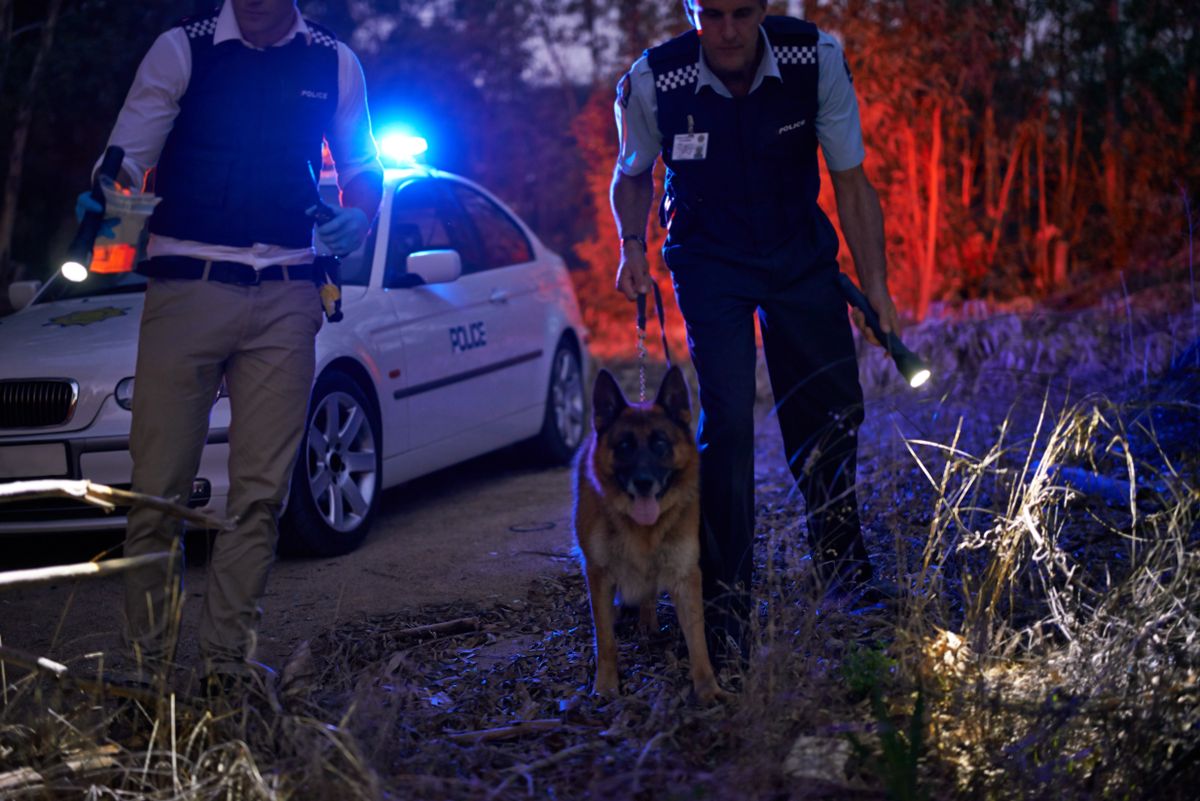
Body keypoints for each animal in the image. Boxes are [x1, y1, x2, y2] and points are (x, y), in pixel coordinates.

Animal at [573, 366, 720, 705]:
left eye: (660, 444)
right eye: (624, 446)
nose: (643, 482)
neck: (643, 528)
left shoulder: (685, 576)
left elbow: (698, 639)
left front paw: (708, 689)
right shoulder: (599, 574)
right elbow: (605, 640)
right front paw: (606, 685)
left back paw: (647, 620)